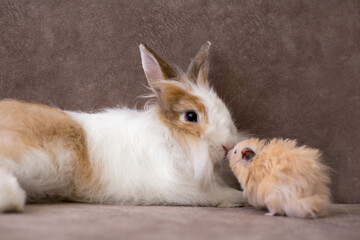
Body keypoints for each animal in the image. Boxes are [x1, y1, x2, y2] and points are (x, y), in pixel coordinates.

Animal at [0, 41, 248, 212]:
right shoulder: (182, 187)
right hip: (30, 155)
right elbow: (218, 194)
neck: (171, 140)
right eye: (190, 116)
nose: (228, 146)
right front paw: (242, 197)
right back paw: (13, 199)